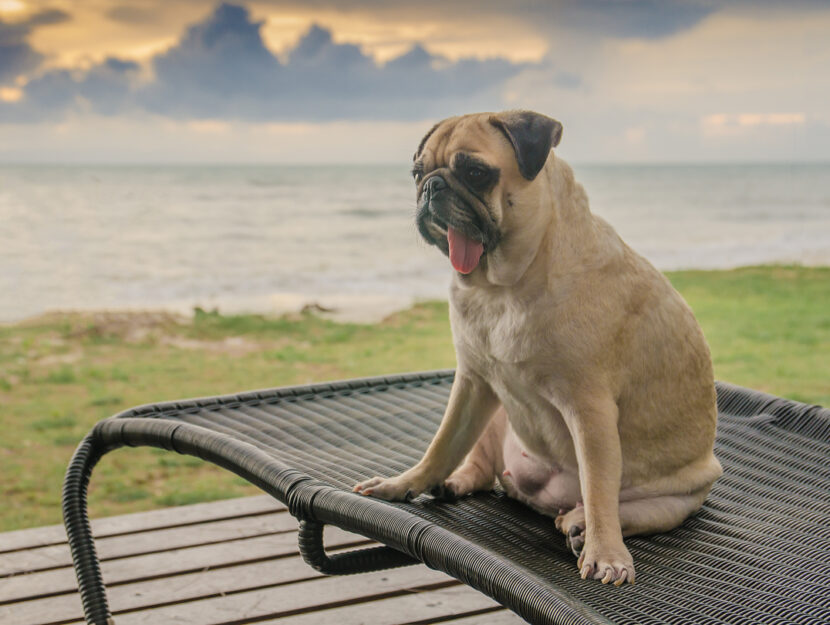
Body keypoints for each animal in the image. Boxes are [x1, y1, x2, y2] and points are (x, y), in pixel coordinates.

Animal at [354, 111, 724, 584]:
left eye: (475, 173)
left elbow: (599, 490)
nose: (432, 186)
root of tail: (544, 498)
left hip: (676, 500)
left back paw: (579, 524)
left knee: (613, 507)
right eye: (418, 173)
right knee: (480, 467)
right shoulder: (472, 382)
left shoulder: (590, 411)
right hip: (494, 410)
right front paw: (406, 483)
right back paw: (454, 482)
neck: (502, 286)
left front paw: (606, 553)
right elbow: (441, 445)